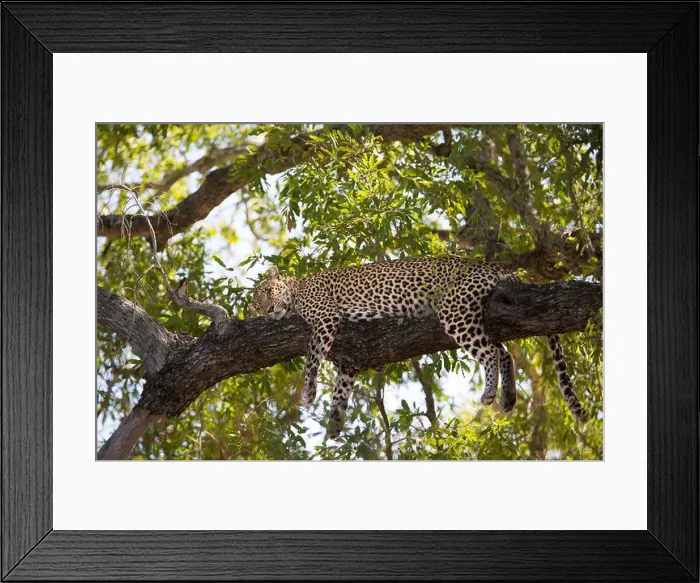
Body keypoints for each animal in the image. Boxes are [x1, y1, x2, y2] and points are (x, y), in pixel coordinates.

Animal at [251, 255, 586, 438]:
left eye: (267, 292)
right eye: (255, 306)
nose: (267, 312)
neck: (296, 291)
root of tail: (491, 266)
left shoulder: (325, 318)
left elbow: (312, 358)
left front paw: (308, 390)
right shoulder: (350, 360)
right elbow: (340, 390)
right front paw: (334, 424)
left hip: (455, 311)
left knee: (492, 353)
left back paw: (490, 394)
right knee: (504, 352)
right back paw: (508, 398)